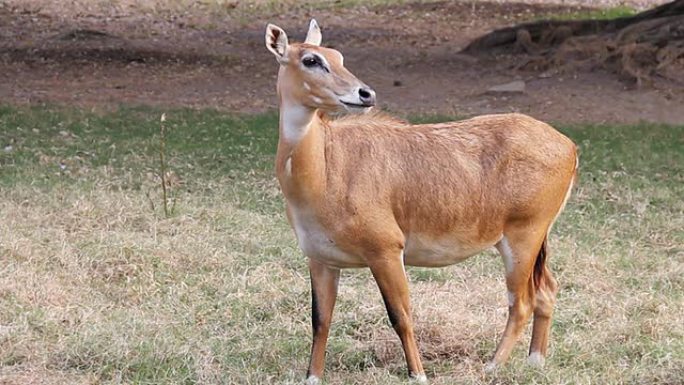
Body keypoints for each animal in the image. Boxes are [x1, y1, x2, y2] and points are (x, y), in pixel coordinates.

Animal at [266, 21, 576, 384]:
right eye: (312, 59)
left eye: (338, 56)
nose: (365, 94)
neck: (325, 169)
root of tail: (570, 147)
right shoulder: (320, 258)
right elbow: (320, 319)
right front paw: (312, 376)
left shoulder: (386, 249)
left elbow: (400, 315)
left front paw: (418, 374)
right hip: (528, 239)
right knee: (546, 289)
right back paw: (535, 360)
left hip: (525, 234)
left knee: (522, 302)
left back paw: (492, 366)